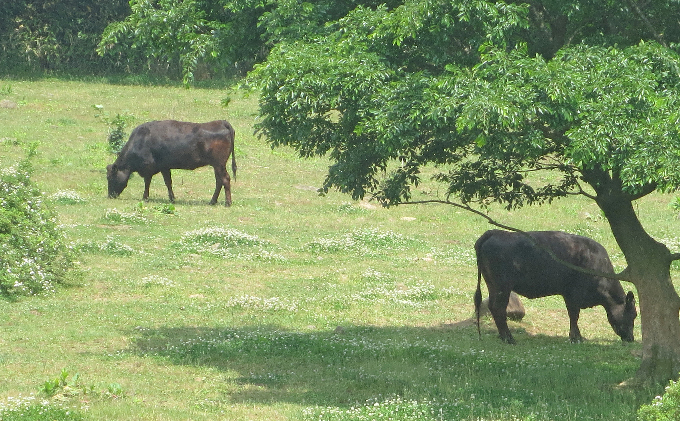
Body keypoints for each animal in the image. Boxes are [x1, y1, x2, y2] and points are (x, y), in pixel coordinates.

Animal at [105, 119, 235, 206]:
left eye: (110, 177)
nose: (110, 195)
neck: (140, 141)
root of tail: (221, 122)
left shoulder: (148, 167)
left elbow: (147, 183)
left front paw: (145, 198)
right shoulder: (164, 167)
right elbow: (168, 182)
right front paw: (172, 199)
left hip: (219, 164)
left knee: (225, 179)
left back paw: (228, 203)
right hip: (217, 165)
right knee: (219, 181)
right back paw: (212, 201)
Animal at [476, 230, 636, 344]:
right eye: (633, 314)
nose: (631, 338)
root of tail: (496, 232)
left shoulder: (567, 293)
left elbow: (572, 315)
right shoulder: (575, 293)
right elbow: (574, 314)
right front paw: (576, 338)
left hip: (493, 286)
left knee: (493, 307)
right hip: (503, 287)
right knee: (499, 308)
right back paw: (509, 338)